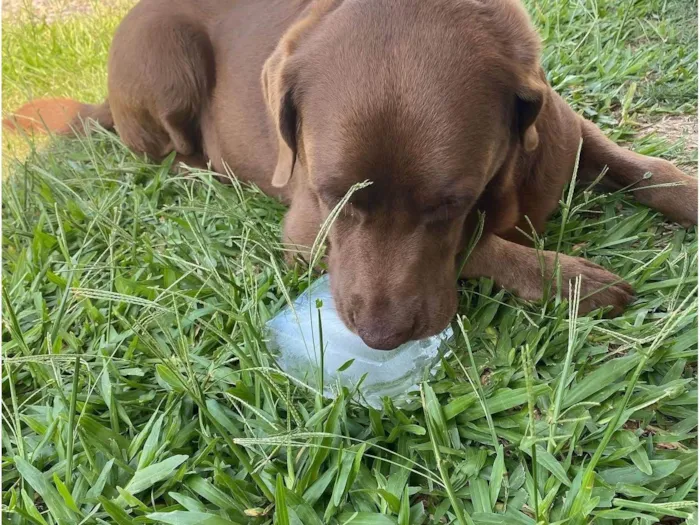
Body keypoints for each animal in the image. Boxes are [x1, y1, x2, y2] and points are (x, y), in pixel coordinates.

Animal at [8, 1, 696, 352]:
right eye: (333, 196)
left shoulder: (562, 131)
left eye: (451, 201)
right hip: (164, 54)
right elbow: (480, 246)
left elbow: (637, 165)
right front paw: (570, 279)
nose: (379, 338)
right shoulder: (307, 228)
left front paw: (683, 190)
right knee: (166, 157)